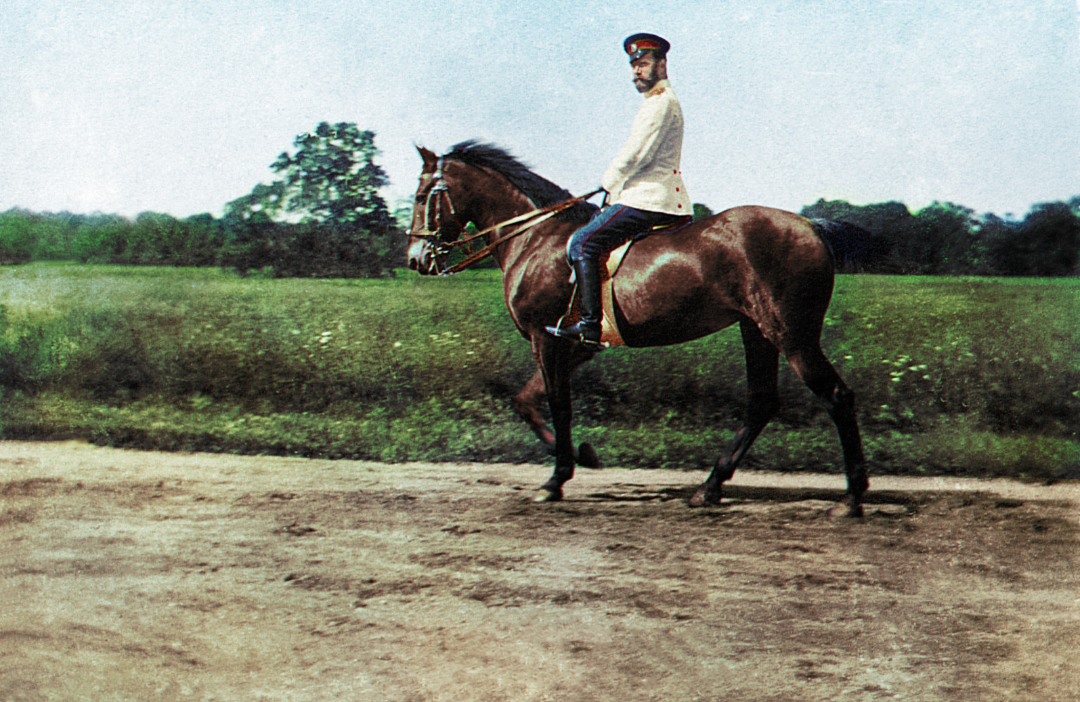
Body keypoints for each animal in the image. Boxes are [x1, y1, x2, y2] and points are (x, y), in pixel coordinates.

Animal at [407, 141, 868, 518]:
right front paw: (583, 455)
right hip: (756, 331)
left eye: (420, 195)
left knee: (836, 395)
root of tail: (811, 227)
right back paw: (710, 487)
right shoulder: (575, 346)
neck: (535, 238)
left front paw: (557, 478)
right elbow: (526, 400)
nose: (415, 258)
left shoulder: (547, 339)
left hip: (790, 333)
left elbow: (557, 404)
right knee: (762, 403)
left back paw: (851, 497)